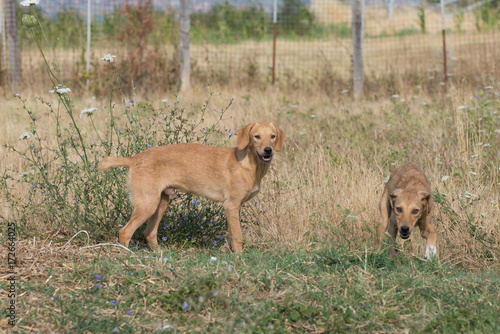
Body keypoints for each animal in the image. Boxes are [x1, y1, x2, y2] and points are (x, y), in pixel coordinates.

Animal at [97, 121, 286, 252]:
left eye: (273, 136)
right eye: (257, 136)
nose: (268, 150)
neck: (250, 164)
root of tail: (134, 159)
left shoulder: (232, 209)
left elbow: (231, 236)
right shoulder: (231, 205)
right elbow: (238, 237)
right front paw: (239, 259)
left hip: (160, 203)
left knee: (149, 232)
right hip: (147, 204)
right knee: (125, 232)